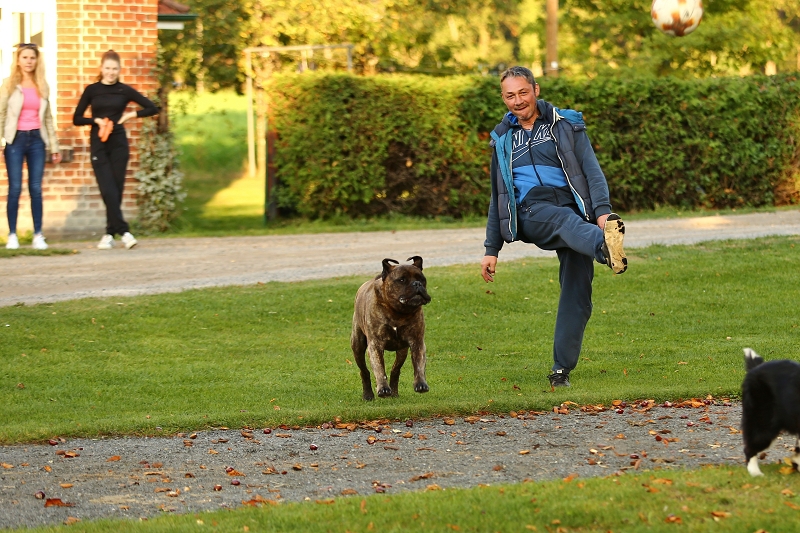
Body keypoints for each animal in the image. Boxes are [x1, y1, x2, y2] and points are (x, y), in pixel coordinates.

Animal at [351, 256, 431, 401]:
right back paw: (368, 394)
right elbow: (379, 368)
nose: (417, 284)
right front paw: (383, 388)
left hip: (402, 351)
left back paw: (394, 392)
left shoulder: (417, 342)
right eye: (402, 280)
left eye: (422, 278)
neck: (397, 311)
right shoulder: (375, 345)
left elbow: (418, 364)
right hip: (357, 346)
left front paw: (421, 384)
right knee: (364, 371)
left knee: (395, 370)